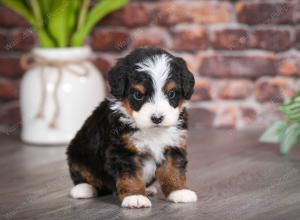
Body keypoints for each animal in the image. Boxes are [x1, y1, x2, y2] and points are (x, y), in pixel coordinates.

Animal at [66, 46, 197, 208]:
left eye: (171, 93)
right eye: (138, 95)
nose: (157, 118)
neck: (152, 131)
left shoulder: (174, 145)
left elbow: (173, 170)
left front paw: (179, 191)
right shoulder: (123, 150)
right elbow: (131, 175)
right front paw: (135, 196)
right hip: (78, 153)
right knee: (82, 173)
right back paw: (83, 188)